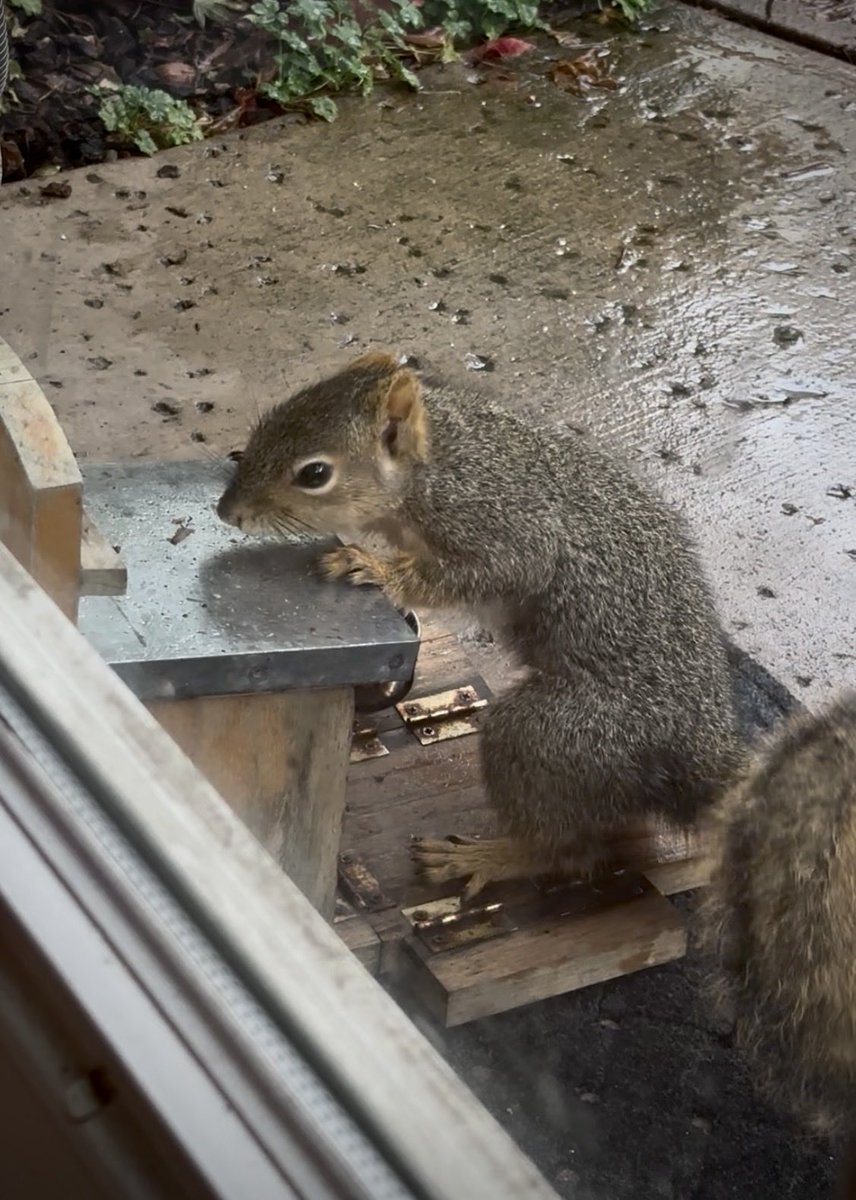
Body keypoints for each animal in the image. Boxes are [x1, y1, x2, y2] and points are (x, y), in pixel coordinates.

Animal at [217, 351, 743, 899]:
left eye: (315, 473)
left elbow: (498, 568)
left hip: (557, 736)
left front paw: (375, 568)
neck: (438, 461)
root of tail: (696, 753)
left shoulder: (498, 522)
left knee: (568, 853)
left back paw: (486, 857)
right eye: (269, 422)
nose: (227, 510)